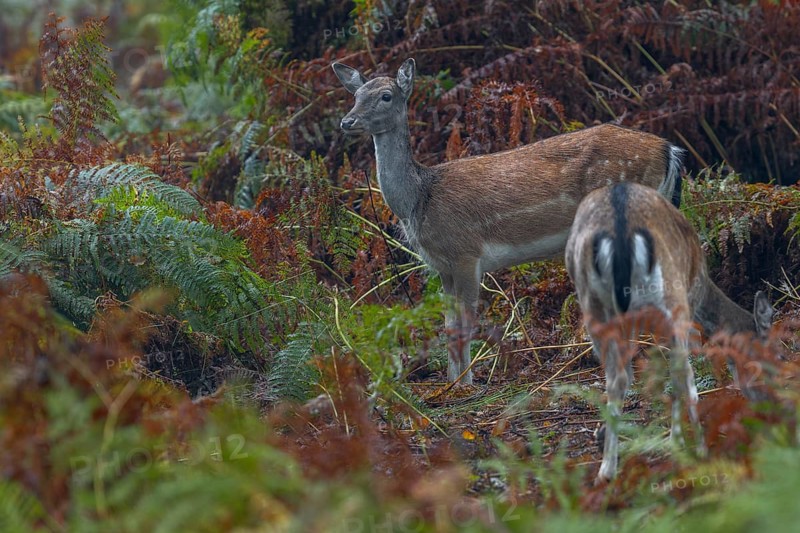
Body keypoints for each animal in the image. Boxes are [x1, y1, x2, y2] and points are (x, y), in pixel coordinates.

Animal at [333, 57, 685, 385]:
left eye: (386, 96)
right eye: (356, 95)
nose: (347, 121)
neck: (419, 201)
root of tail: (669, 150)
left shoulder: (466, 253)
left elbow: (466, 323)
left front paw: (465, 385)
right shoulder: (442, 266)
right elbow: (448, 325)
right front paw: (451, 382)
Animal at [564, 181, 774, 482]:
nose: (771, 406)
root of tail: (620, 230)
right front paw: (679, 441)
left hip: (593, 306)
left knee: (616, 378)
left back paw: (606, 469)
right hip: (671, 300)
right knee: (684, 376)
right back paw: (699, 447)